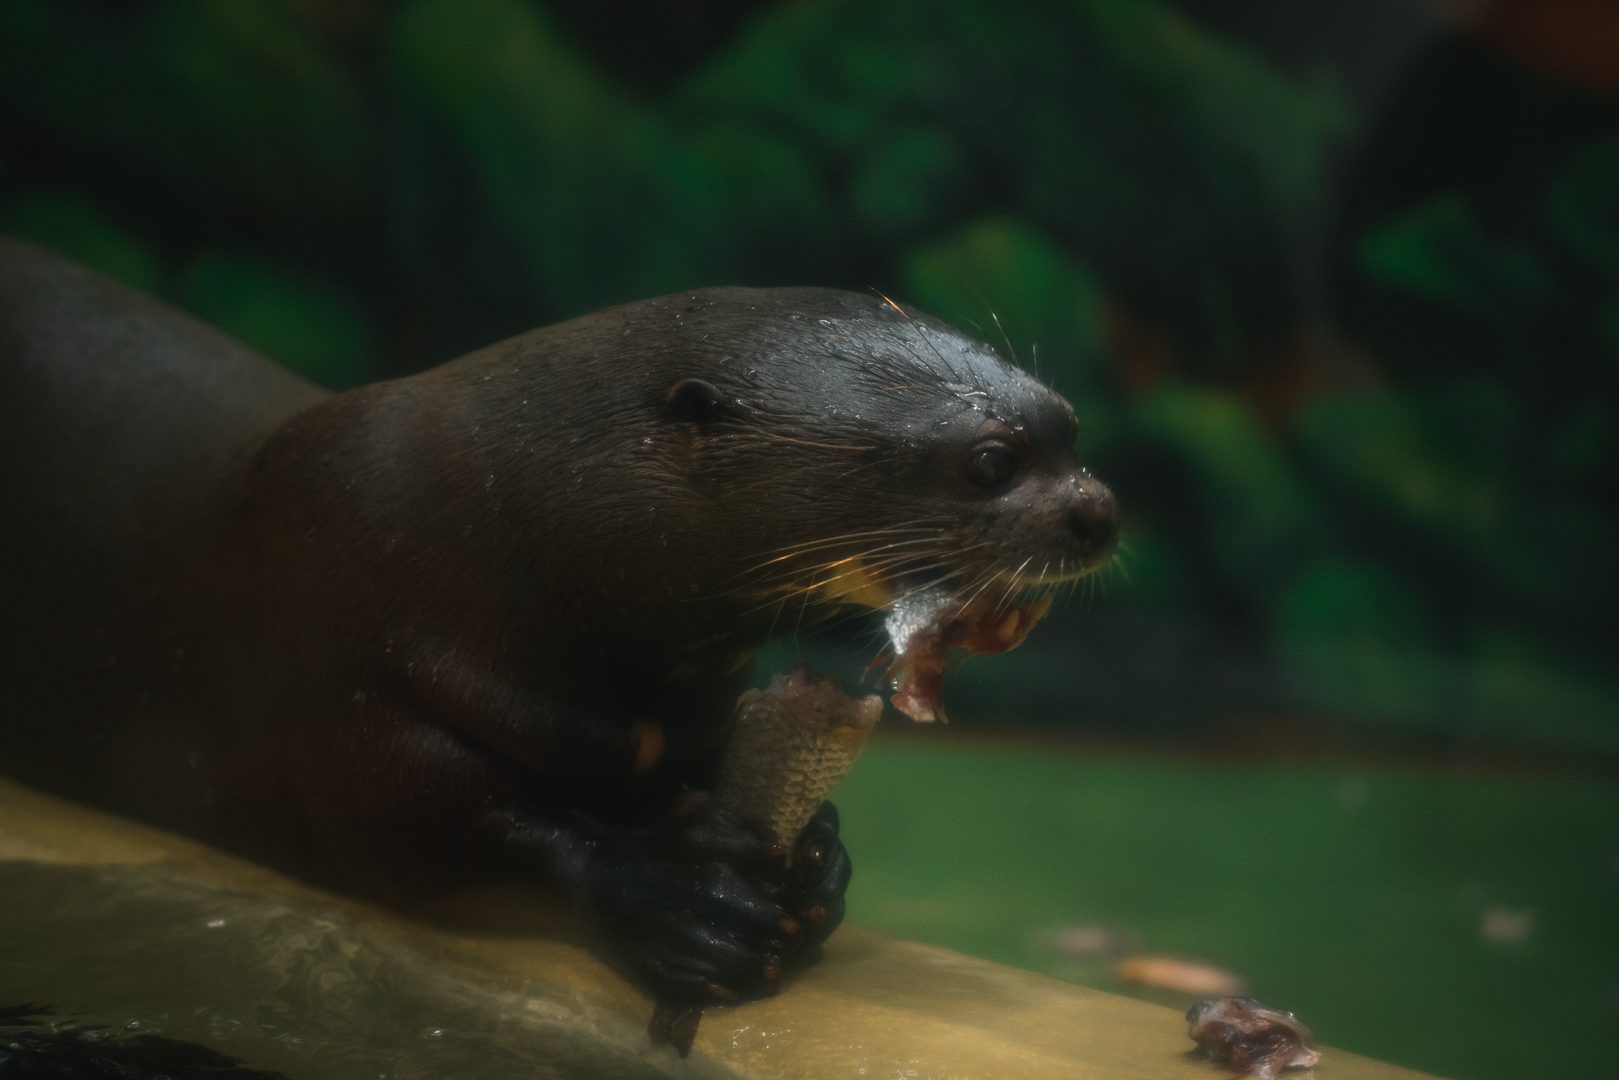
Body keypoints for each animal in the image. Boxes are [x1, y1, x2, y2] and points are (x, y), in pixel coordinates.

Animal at [0, 238, 1118, 1010]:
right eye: (989, 461)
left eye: (1067, 426)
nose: (1097, 509)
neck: (474, 544)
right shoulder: (340, 657)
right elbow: (424, 823)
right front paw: (671, 896)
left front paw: (815, 861)